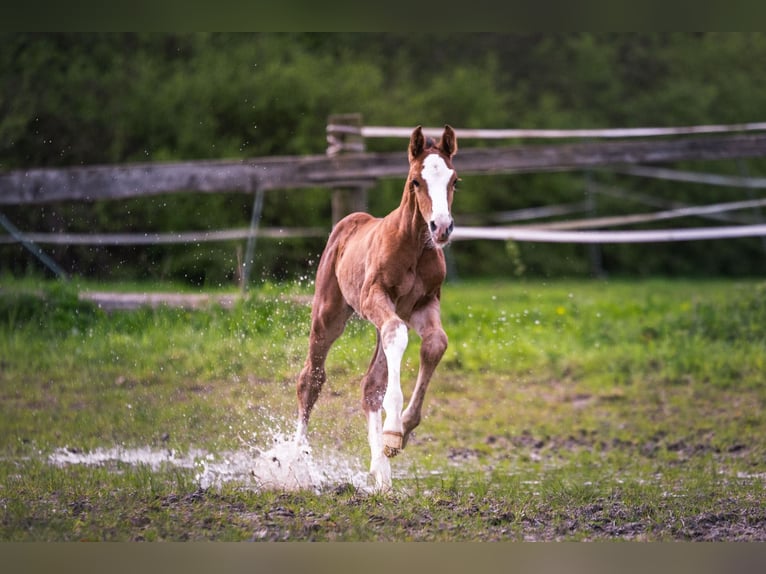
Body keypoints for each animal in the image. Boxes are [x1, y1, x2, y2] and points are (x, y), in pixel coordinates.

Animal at [296, 125, 460, 490]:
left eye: (455, 180)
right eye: (416, 180)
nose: (441, 227)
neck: (414, 246)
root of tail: (350, 222)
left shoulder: (424, 304)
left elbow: (435, 344)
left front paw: (401, 431)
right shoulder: (376, 296)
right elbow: (397, 336)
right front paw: (394, 426)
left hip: (384, 317)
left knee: (370, 384)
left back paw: (381, 472)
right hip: (329, 314)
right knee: (311, 379)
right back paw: (294, 460)